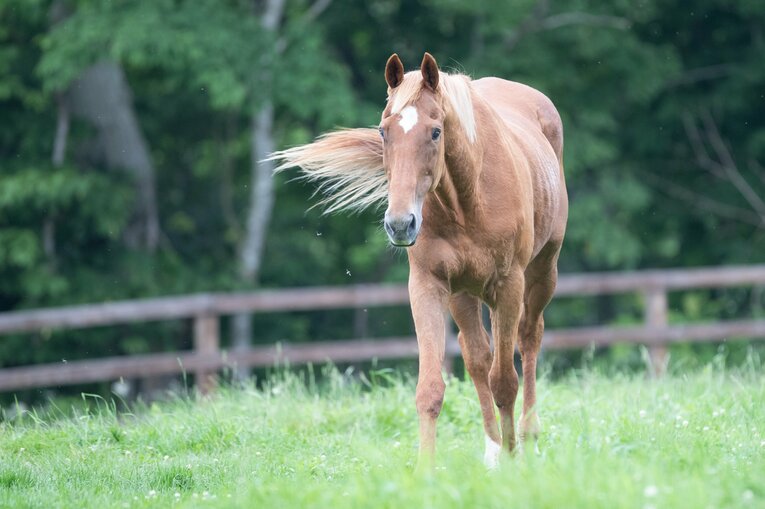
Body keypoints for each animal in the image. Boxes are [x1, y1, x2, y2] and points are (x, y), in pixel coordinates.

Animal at [271, 52, 568, 468]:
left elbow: (505, 381)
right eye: (383, 132)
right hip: (464, 294)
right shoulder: (428, 285)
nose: (400, 223)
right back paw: (493, 448)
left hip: (542, 273)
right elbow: (431, 387)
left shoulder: (509, 285)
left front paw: (513, 459)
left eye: (435, 132)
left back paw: (527, 439)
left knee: (528, 340)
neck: (469, 200)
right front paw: (426, 469)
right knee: (478, 356)